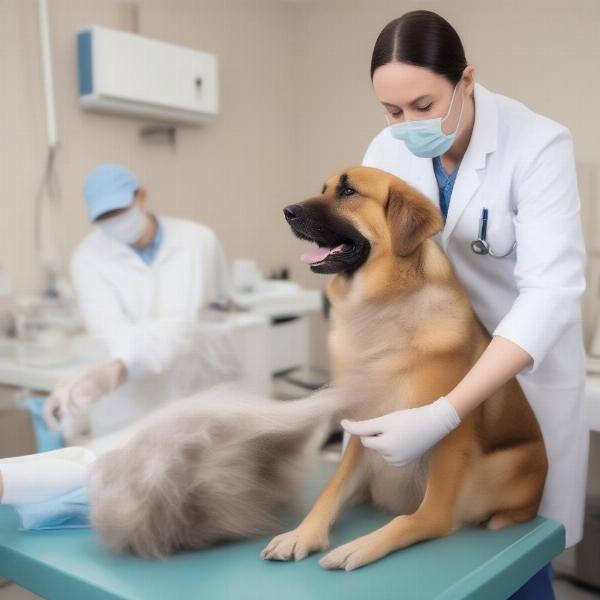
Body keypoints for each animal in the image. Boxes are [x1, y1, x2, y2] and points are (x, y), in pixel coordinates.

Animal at [260, 166, 548, 568]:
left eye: (348, 192)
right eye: (325, 189)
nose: (287, 211)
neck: (384, 306)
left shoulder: (447, 444)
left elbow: (421, 518)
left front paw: (356, 546)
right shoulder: (364, 430)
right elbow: (332, 488)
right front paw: (303, 534)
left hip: (502, 465)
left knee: (432, 518)